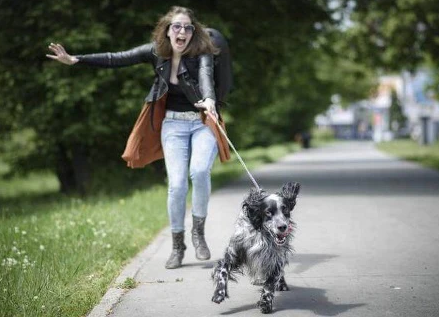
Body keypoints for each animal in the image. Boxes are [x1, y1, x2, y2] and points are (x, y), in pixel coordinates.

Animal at [211, 181, 300, 314]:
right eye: (268, 212)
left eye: (286, 210)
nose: (282, 227)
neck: (261, 235)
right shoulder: (232, 255)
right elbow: (223, 272)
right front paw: (219, 293)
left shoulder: (275, 260)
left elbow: (270, 284)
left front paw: (265, 303)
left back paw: (282, 284)